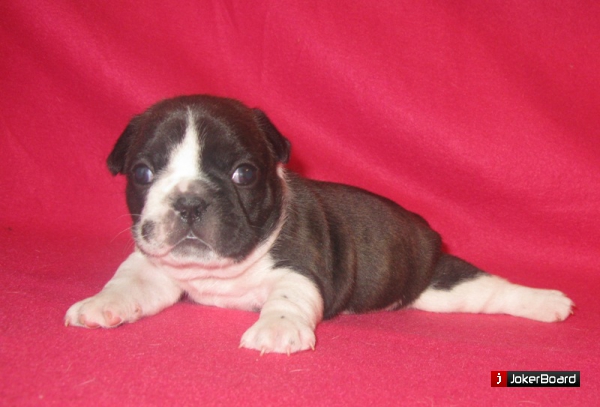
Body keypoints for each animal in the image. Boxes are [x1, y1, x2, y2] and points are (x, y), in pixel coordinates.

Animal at [65, 95, 574, 354]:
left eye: (244, 173)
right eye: (142, 173)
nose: (189, 202)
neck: (221, 272)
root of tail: (425, 232)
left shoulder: (299, 267)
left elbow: (289, 297)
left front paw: (276, 329)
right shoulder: (157, 266)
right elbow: (128, 281)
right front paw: (100, 304)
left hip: (444, 282)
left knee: (492, 289)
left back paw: (548, 302)